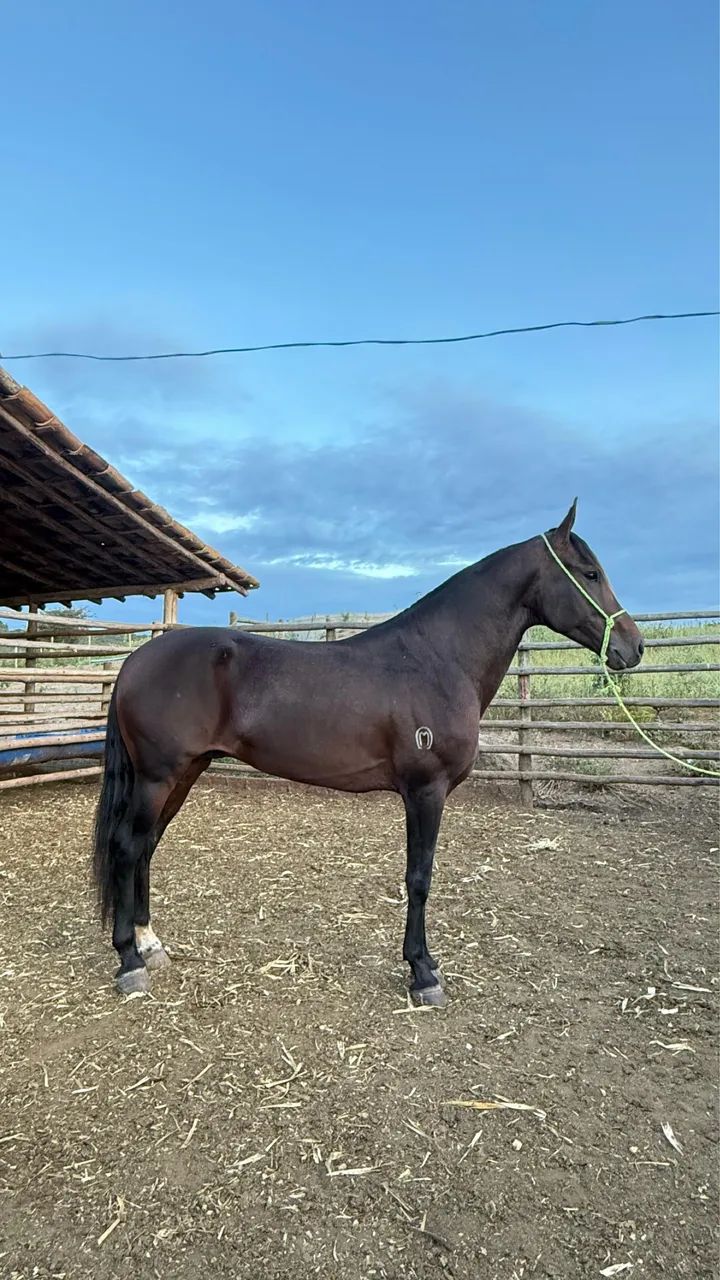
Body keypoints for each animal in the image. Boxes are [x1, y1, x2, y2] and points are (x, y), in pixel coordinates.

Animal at [92, 500, 644, 1004]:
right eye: (590, 573)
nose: (633, 647)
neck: (438, 660)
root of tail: (136, 660)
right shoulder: (426, 791)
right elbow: (419, 877)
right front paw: (422, 972)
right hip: (158, 777)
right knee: (126, 847)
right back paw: (129, 962)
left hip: (184, 773)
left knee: (146, 846)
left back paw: (150, 945)